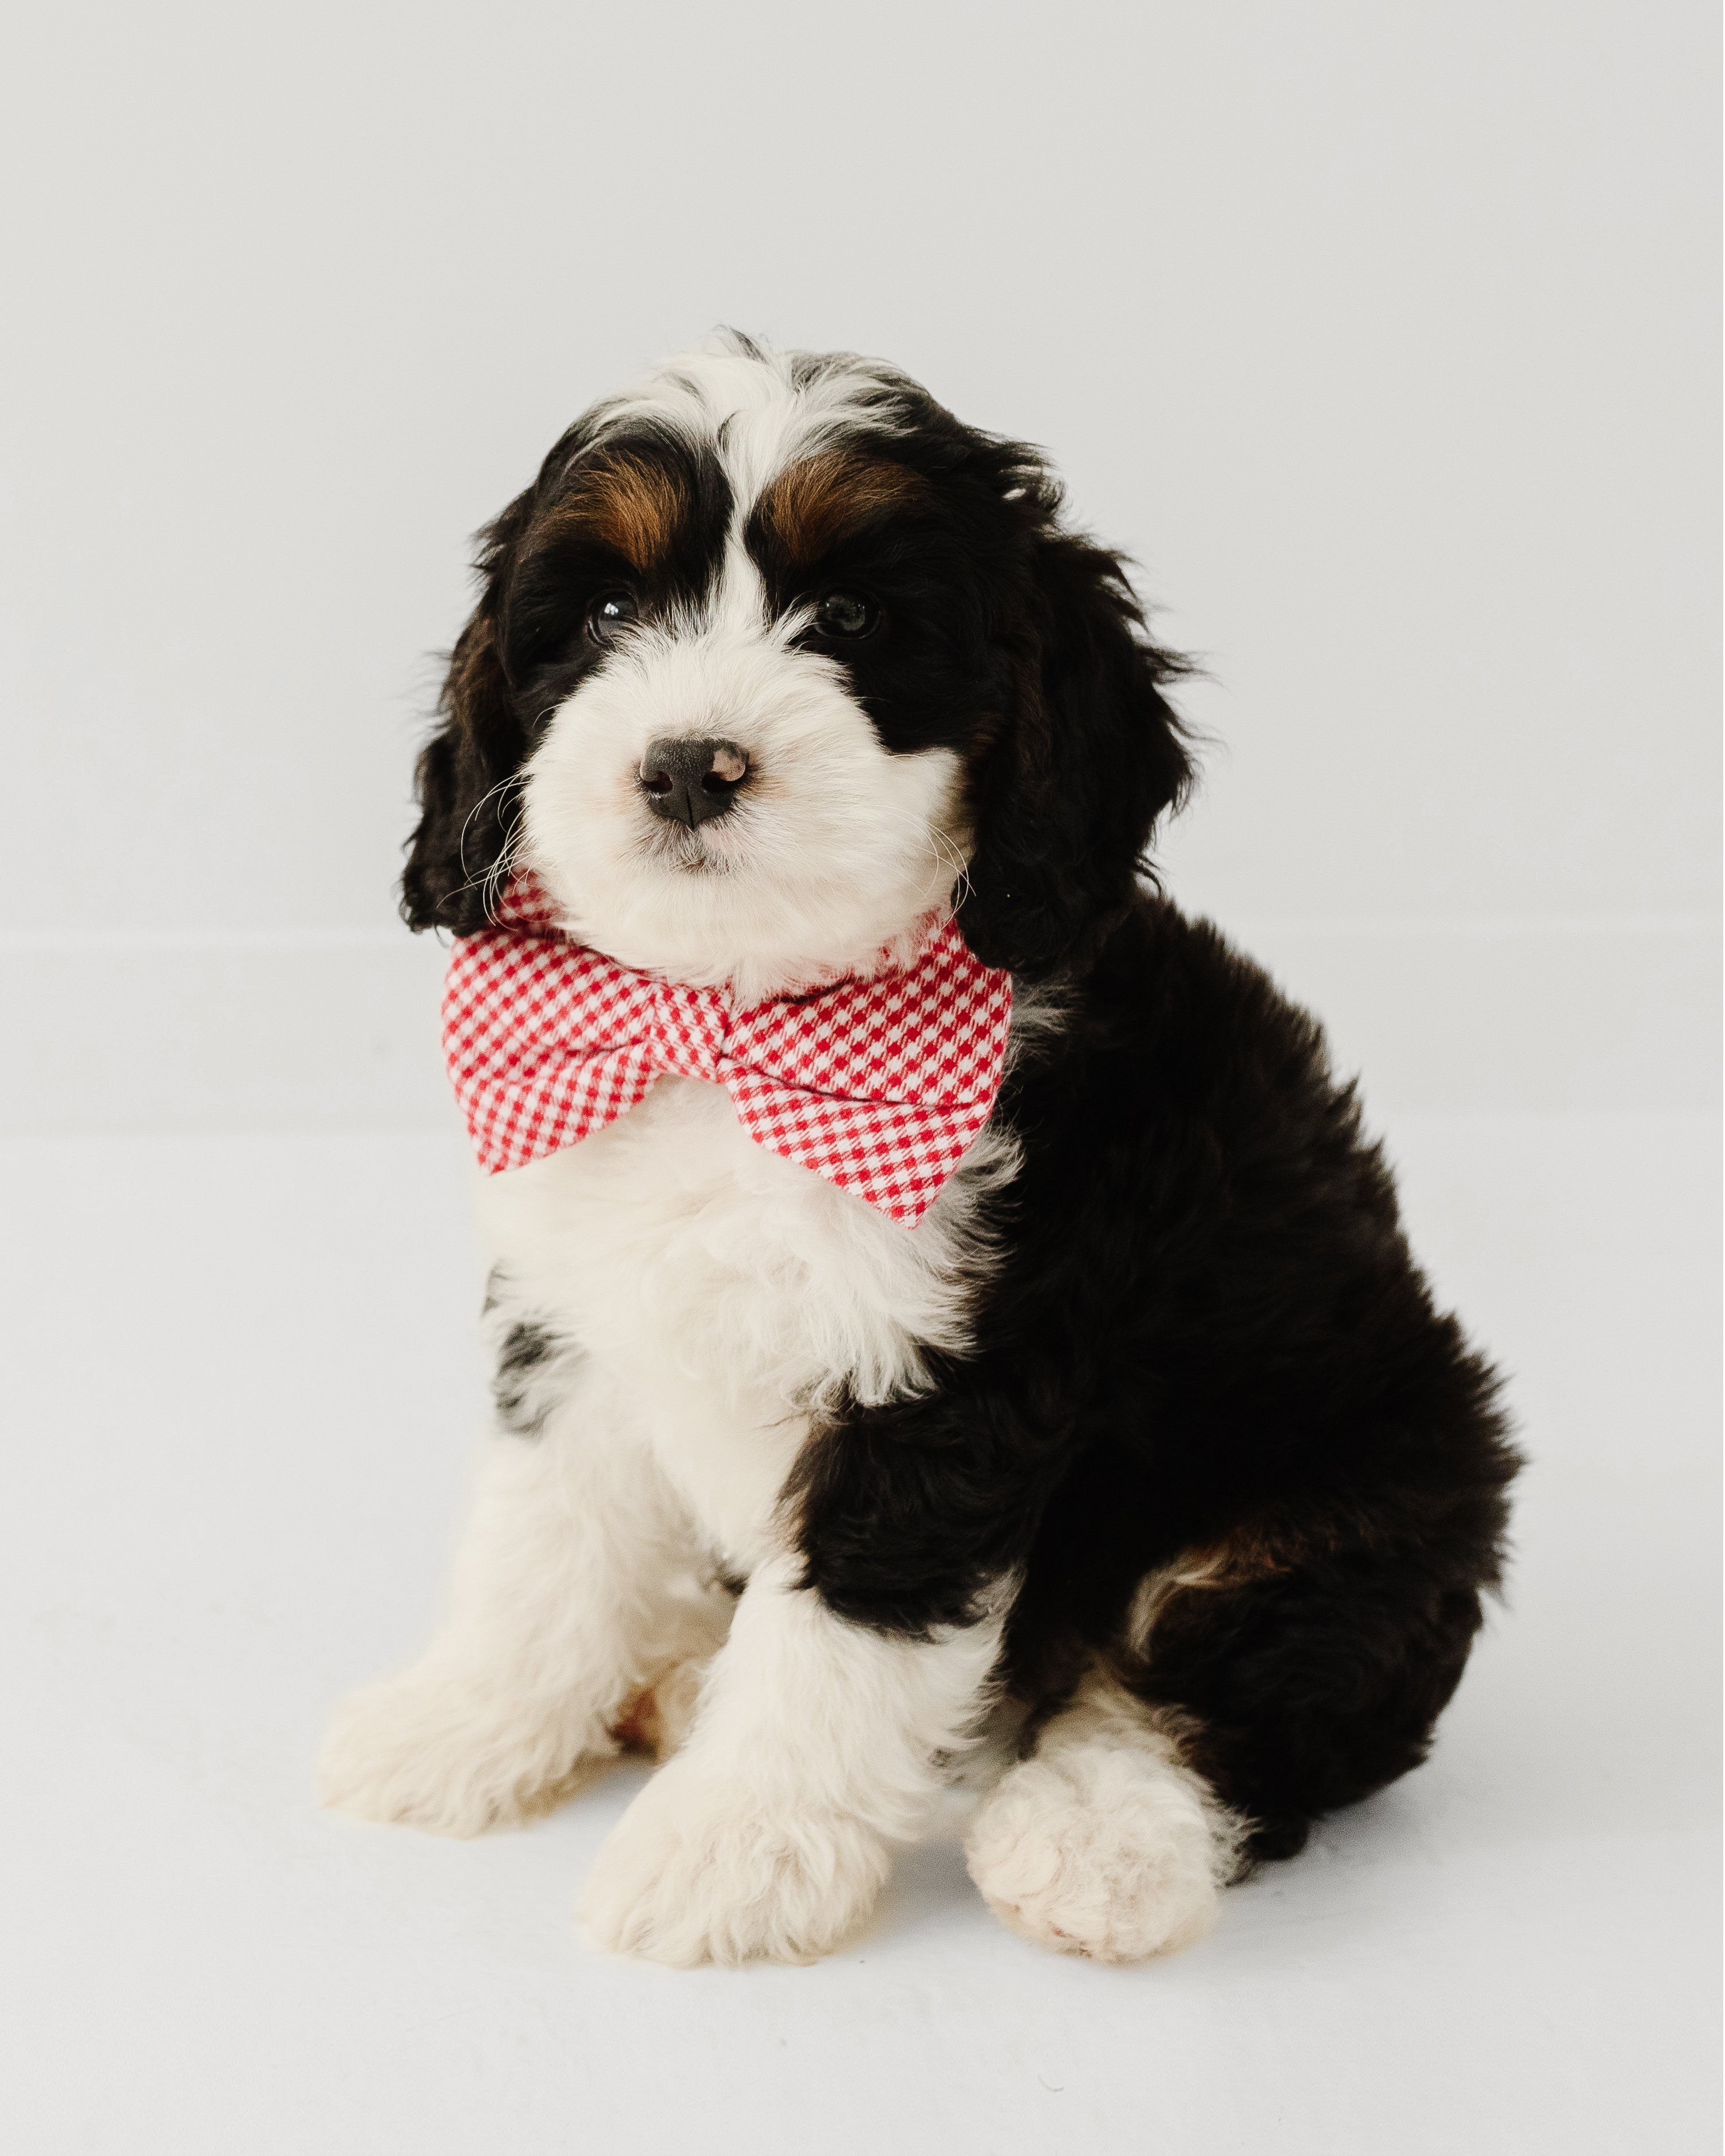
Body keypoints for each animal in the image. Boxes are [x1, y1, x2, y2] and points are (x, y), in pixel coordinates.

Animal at [317, 327, 1518, 1966]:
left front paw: (729, 1853)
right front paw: (464, 1727)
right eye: (609, 612)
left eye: (854, 617)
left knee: (1233, 1700)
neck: (739, 1029)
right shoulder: (578, 1310)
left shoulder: (953, 1379)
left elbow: (842, 1631)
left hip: (1350, 1503)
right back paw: (677, 1664)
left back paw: (1098, 1840)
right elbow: (542, 1536)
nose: (689, 765)